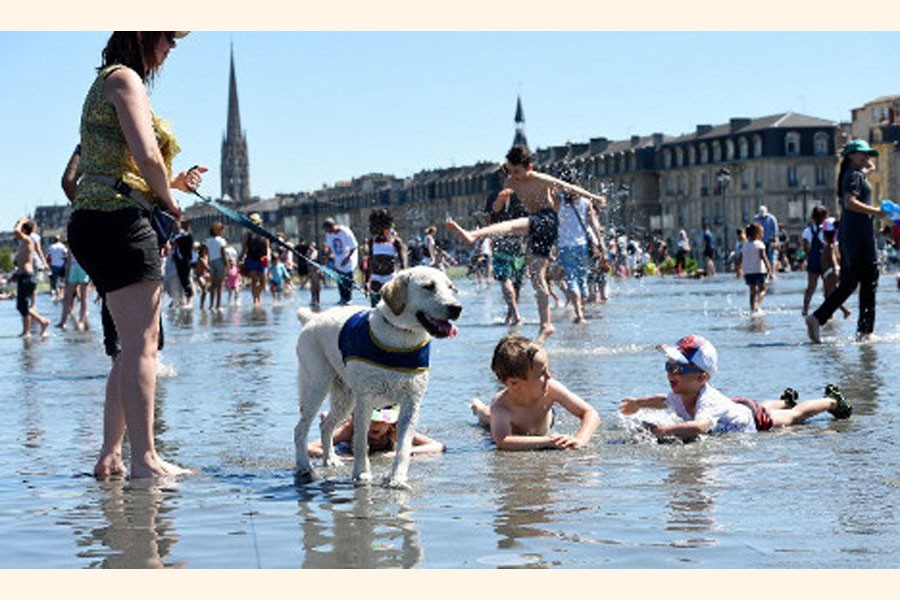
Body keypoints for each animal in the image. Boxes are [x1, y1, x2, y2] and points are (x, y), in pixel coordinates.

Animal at [298, 268, 464, 488]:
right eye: (428, 286)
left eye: (451, 287)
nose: (457, 308)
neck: (402, 335)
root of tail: (312, 319)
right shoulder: (365, 400)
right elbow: (361, 442)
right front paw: (361, 474)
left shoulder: (412, 403)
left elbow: (403, 447)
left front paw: (397, 479)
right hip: (316, 387)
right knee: (300, 429)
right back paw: (304, 467)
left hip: (345, 399)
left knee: (325, 426)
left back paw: (330, 460)